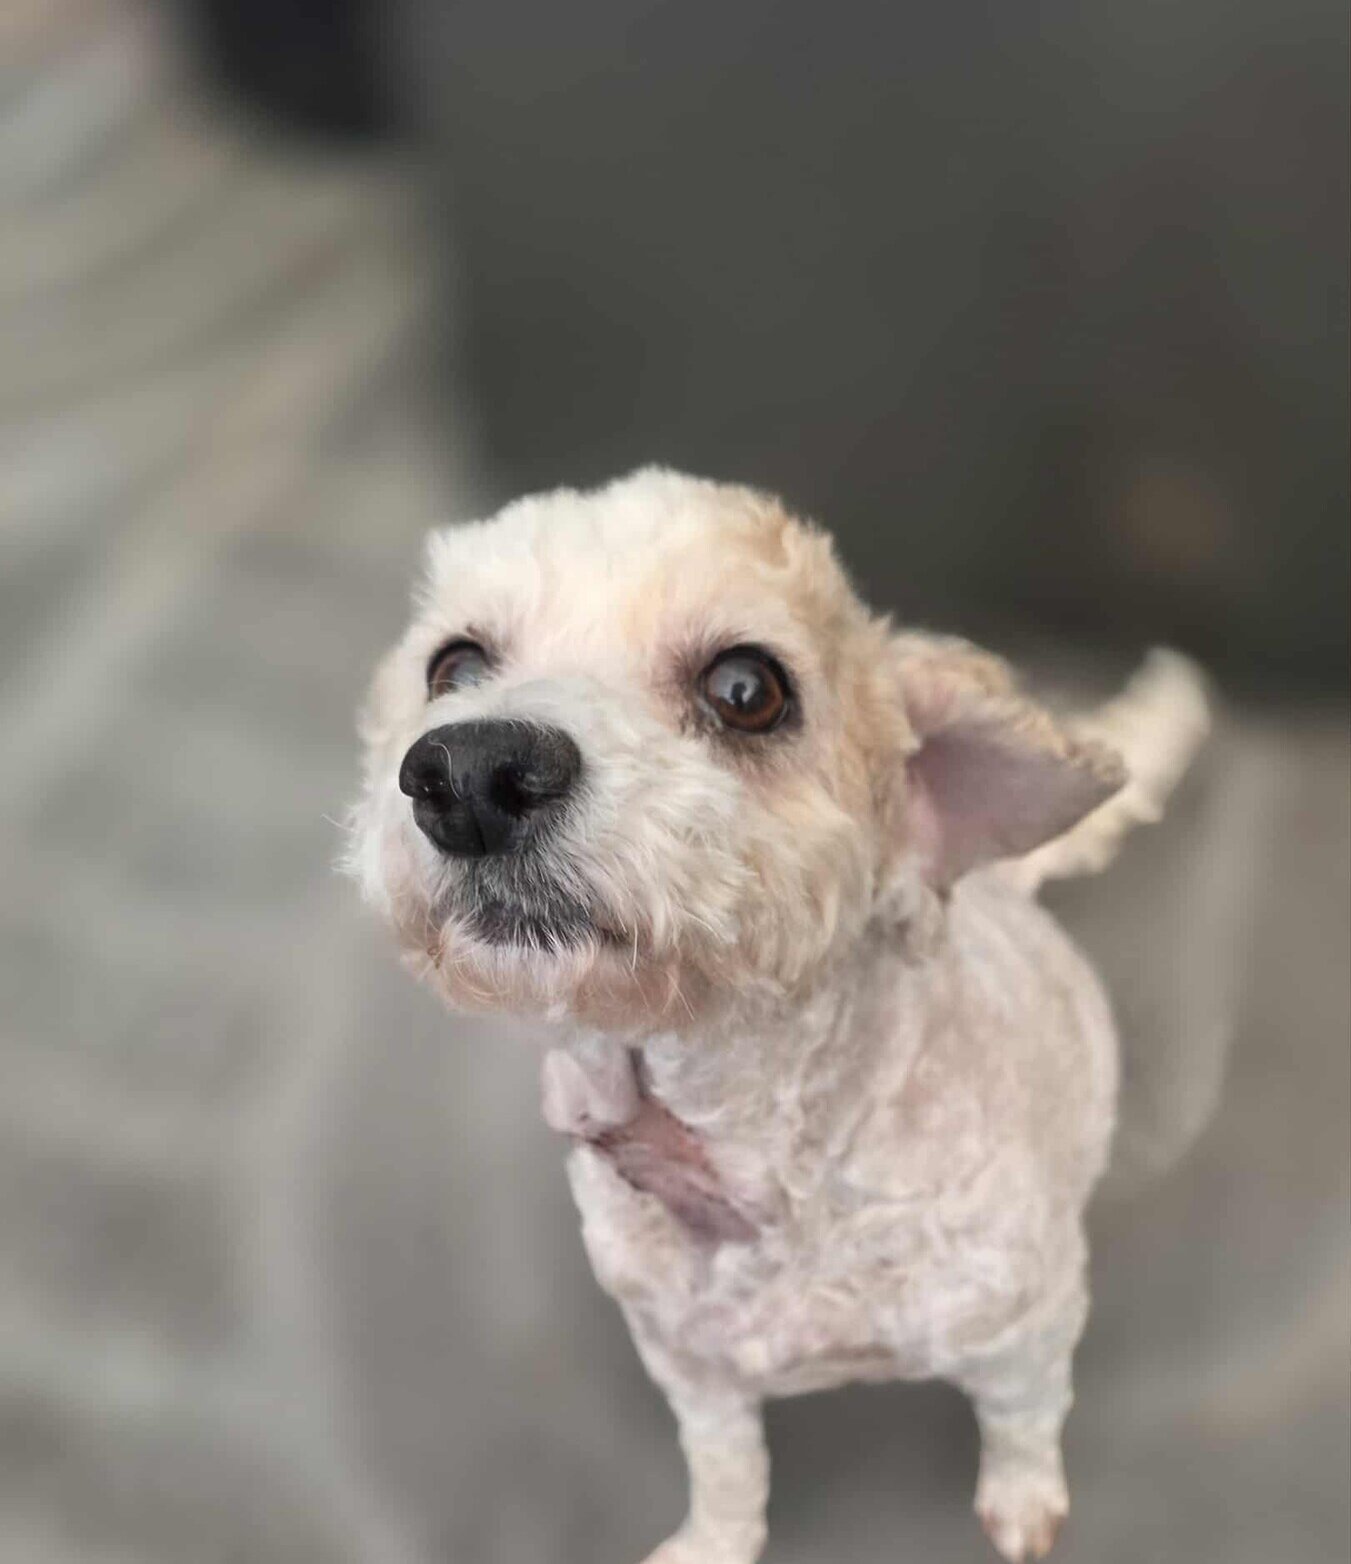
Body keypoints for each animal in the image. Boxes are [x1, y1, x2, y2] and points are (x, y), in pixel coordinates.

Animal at [348, 468, 1209, 1563]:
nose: (465, 775)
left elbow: (1021, 1426)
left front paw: (1021, 1506)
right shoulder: (690, 1370)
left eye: (746, 690)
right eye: (452, 665)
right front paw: (713, 1541)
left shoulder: (1026, 1334)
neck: (759, 1170)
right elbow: (726, 1471)